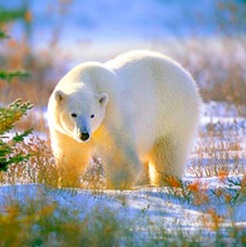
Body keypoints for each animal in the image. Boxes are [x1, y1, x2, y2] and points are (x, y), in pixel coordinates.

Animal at [48, 50, 202, 189]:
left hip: (172, 111)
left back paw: (166, 182)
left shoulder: (112, 112)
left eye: (92, 115)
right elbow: (72, 154)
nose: (84, 134)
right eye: (73, 114)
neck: (86, 76)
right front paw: (67, 182)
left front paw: (116, 186)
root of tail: (188, 76)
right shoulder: (64, 132)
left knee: (168, 151)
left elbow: (119, 153)